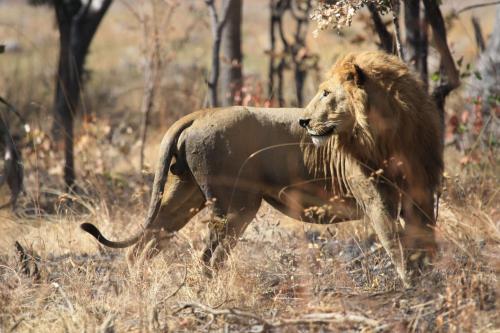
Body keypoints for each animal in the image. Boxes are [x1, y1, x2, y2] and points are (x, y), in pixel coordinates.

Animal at [81, 50, 442, 284]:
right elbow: (397, 246)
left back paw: (136, 286)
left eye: (326, 93)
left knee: (148, 241)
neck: (390, 133)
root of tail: (202, 113)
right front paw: (412, 289)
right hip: (236, 205)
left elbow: (426, 242)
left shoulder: (423, 195)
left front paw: (430, 283)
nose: (303, 121)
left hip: (184, 195)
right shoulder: (376, 199)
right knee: (208, 258)